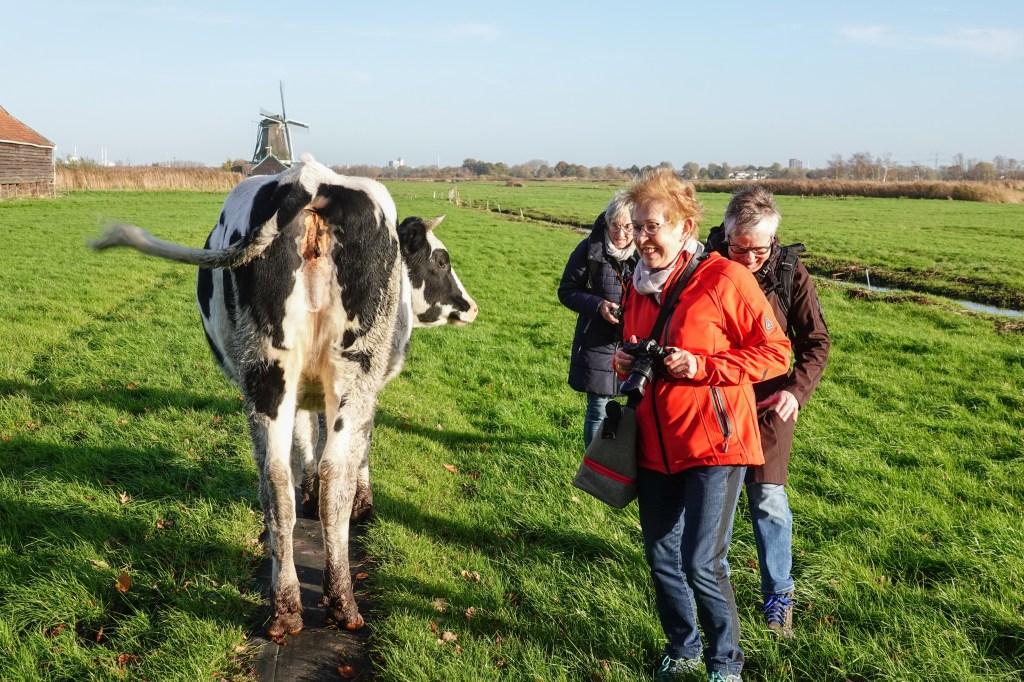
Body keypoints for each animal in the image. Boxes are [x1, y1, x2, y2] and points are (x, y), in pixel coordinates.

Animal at [91, 155, 477, 637]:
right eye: (441, 260)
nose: (471, 306)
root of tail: (309, 178)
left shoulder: (306, 391)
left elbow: (306, 441)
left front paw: (307, 488)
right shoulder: (370, 388)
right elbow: (357, 448)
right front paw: (363, 501)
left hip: (268, 375)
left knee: (275, 481)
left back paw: (288, 606)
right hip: (355, 368)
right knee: (336, 478)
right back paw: (340, 600)